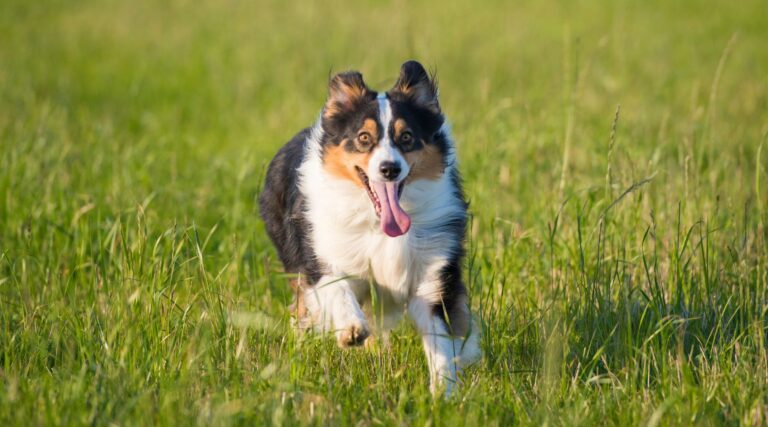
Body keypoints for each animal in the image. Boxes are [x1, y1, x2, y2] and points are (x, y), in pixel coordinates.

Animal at [262, 59, 480, 394]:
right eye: (364, 138)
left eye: (407, 137)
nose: (389, 169)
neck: (379, 225)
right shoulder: (322, 253)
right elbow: (337, 288)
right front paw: (351, 330)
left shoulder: (432, 271)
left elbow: (441, 339)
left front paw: (443, 394)